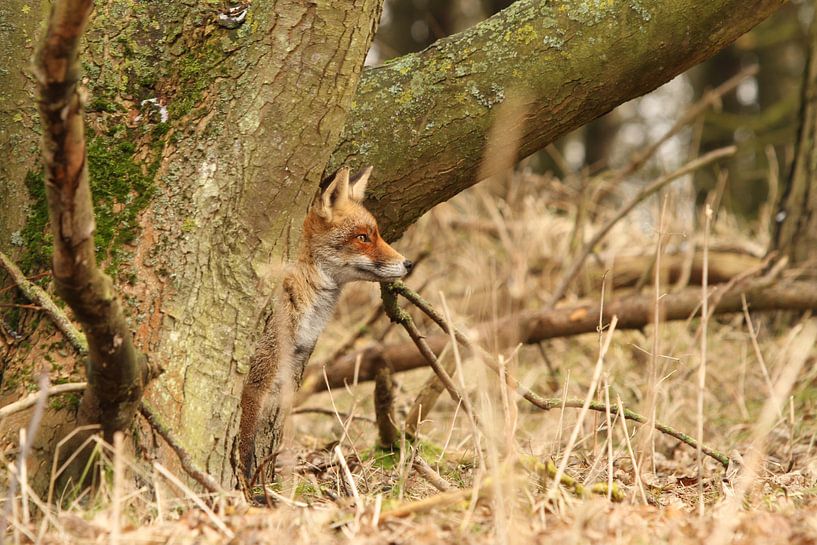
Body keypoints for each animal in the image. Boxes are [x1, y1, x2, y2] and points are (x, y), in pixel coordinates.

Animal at [239, 165, 412, 484]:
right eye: (363, 237)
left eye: (377, 234)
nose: (408, 264)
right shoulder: (258, 372)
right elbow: (245, 440)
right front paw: (243, 486)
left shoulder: (288, 366)